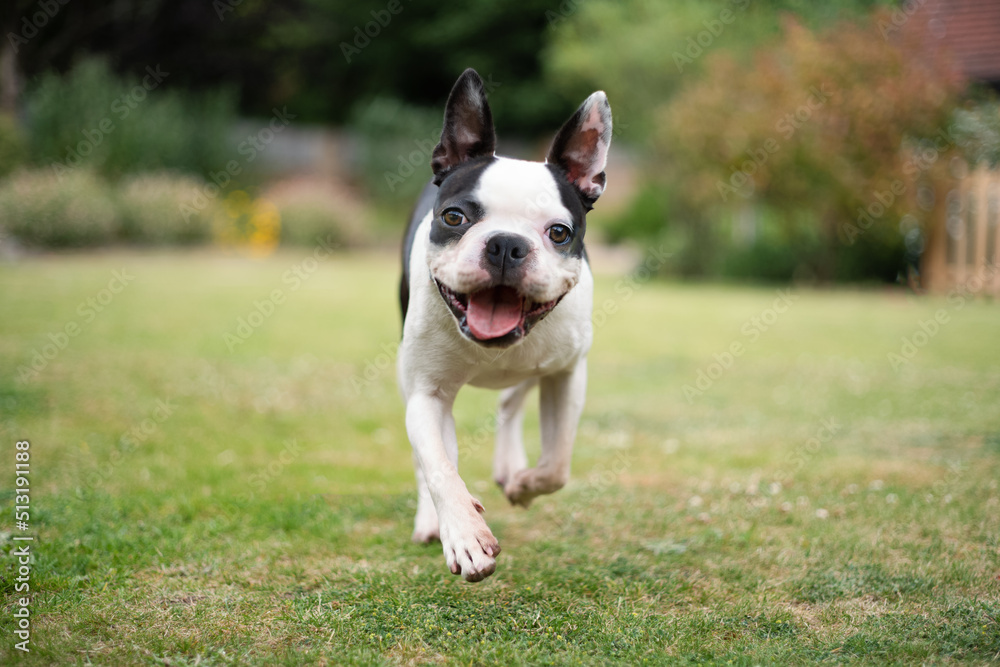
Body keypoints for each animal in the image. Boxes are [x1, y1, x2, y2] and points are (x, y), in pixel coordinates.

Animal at [396, 66, 608, 580]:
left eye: (560, 233)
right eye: (454, 217)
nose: (507, 244)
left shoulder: (566, 373)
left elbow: (557, 464)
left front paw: (524, 485)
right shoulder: (426, 393)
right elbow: (438, 465)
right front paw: (465, 536)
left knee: (511, 402)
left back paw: (510, 468)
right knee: (431, 458)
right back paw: (431, 520)